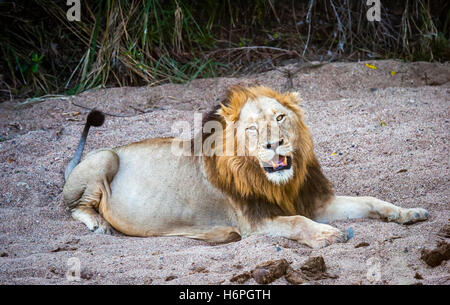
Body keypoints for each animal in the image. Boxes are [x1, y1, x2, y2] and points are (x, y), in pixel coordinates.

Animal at [62, 85, 428, 247]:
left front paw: (408, 212)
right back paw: (98, 224)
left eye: (279, 118)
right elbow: (297, 222)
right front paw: (329, 234)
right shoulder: (253, 222)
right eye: (252, 128)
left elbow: (370, 201)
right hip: (105, 157)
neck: (280, 183)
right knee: (74, 206)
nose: (273, 144)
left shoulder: (314, 201)